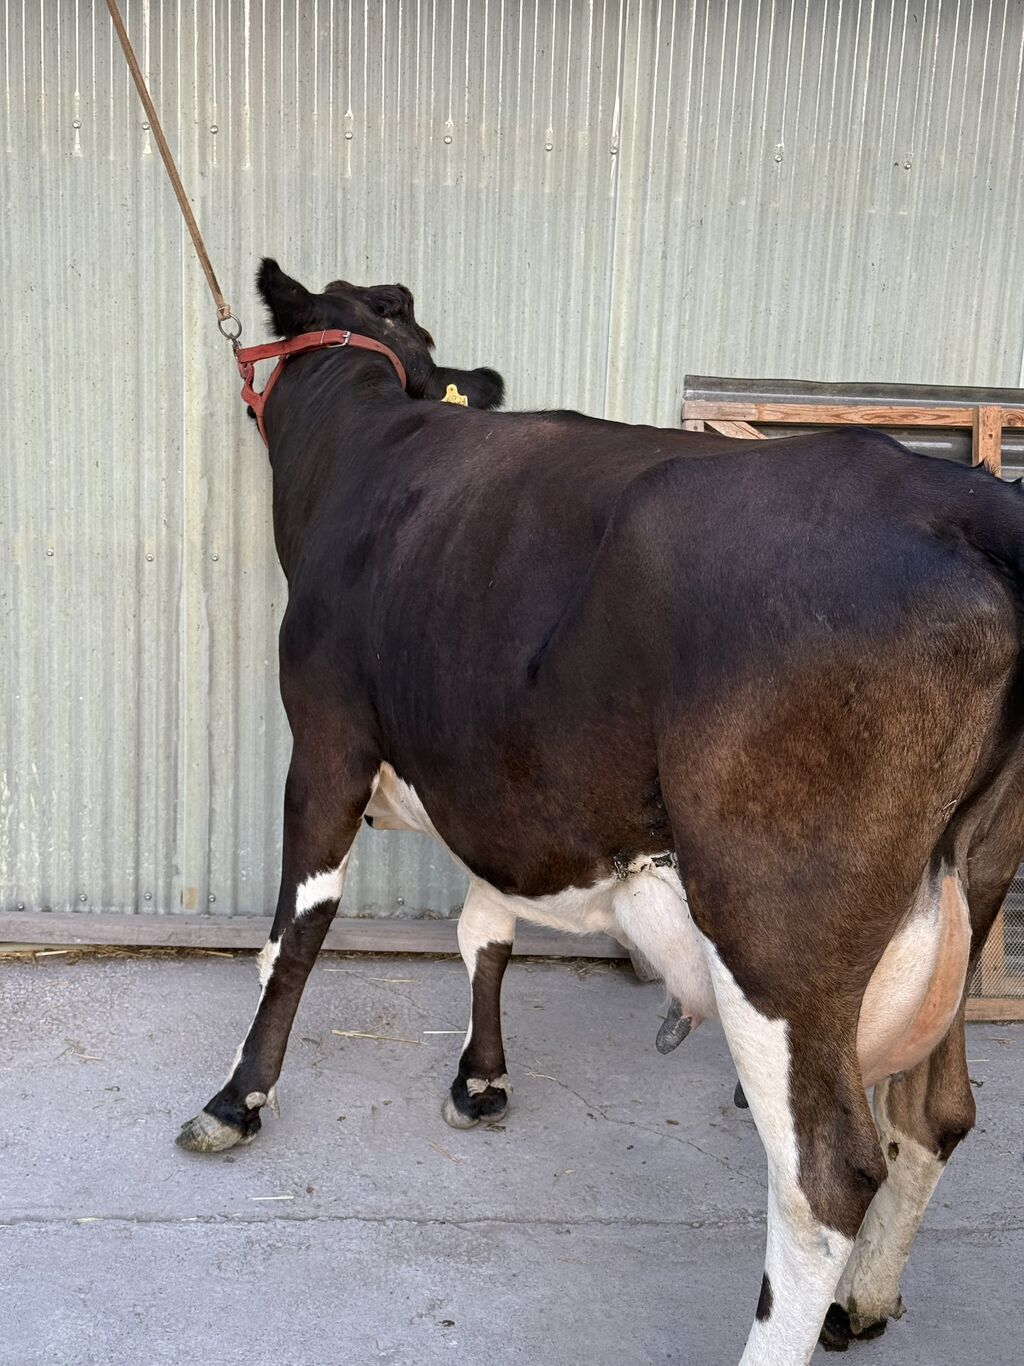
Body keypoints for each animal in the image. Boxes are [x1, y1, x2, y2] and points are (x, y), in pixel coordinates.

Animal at [177, 259, 1024, 1365]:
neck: (373, 444)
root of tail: (963, 497)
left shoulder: (325, 741)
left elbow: (293, 936)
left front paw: (238, 1098)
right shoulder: (493, 772)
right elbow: (484, 930)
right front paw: (480, 1079)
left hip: (777, 918)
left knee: (825, 1177)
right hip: (970, 890)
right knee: (936, 1110)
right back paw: (865, 1298)